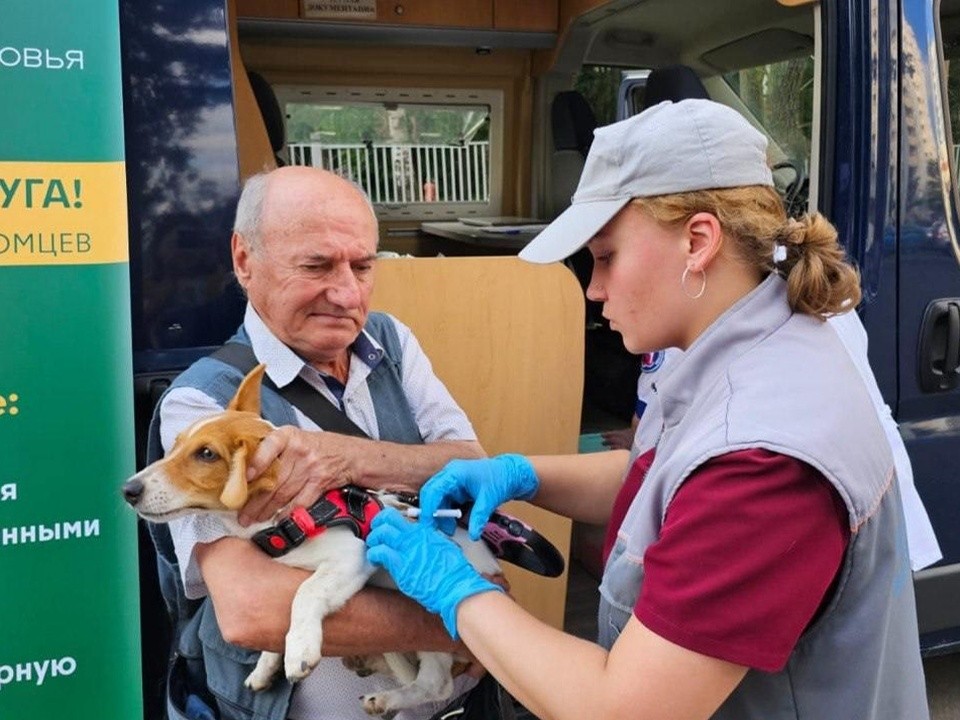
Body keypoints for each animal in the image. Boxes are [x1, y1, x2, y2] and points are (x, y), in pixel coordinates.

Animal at [124, 368, 502, 716]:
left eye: (206, 454)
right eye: (174, 445)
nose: (128, 489)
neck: (286, 516)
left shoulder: (351, 556)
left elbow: (304, 594)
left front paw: (299, 650)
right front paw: (266, 665)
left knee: (436, 684)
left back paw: (387, 697)